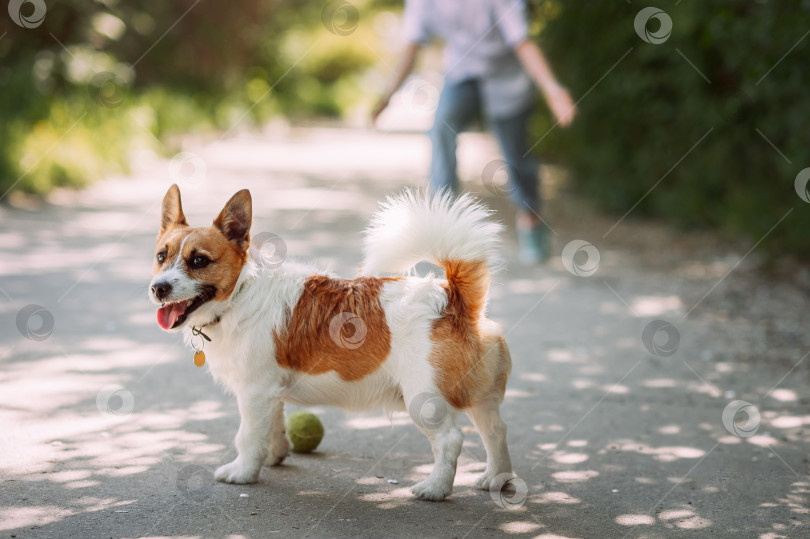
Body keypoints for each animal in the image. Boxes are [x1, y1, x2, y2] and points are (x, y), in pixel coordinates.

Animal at [149, 186, 516, 502]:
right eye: (161, 256)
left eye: (199, 261)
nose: (158, 288)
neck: (240, 293)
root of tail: (452, 299)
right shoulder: (270, 393)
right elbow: (274, 427)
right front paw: (274, 456)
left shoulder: (254, 393)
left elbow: (249, 436)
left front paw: (244, 472)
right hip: (481, 399)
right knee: (496, 431)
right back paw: (496, 479)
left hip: (424, 401)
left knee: (450, 440)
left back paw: (435, 488)